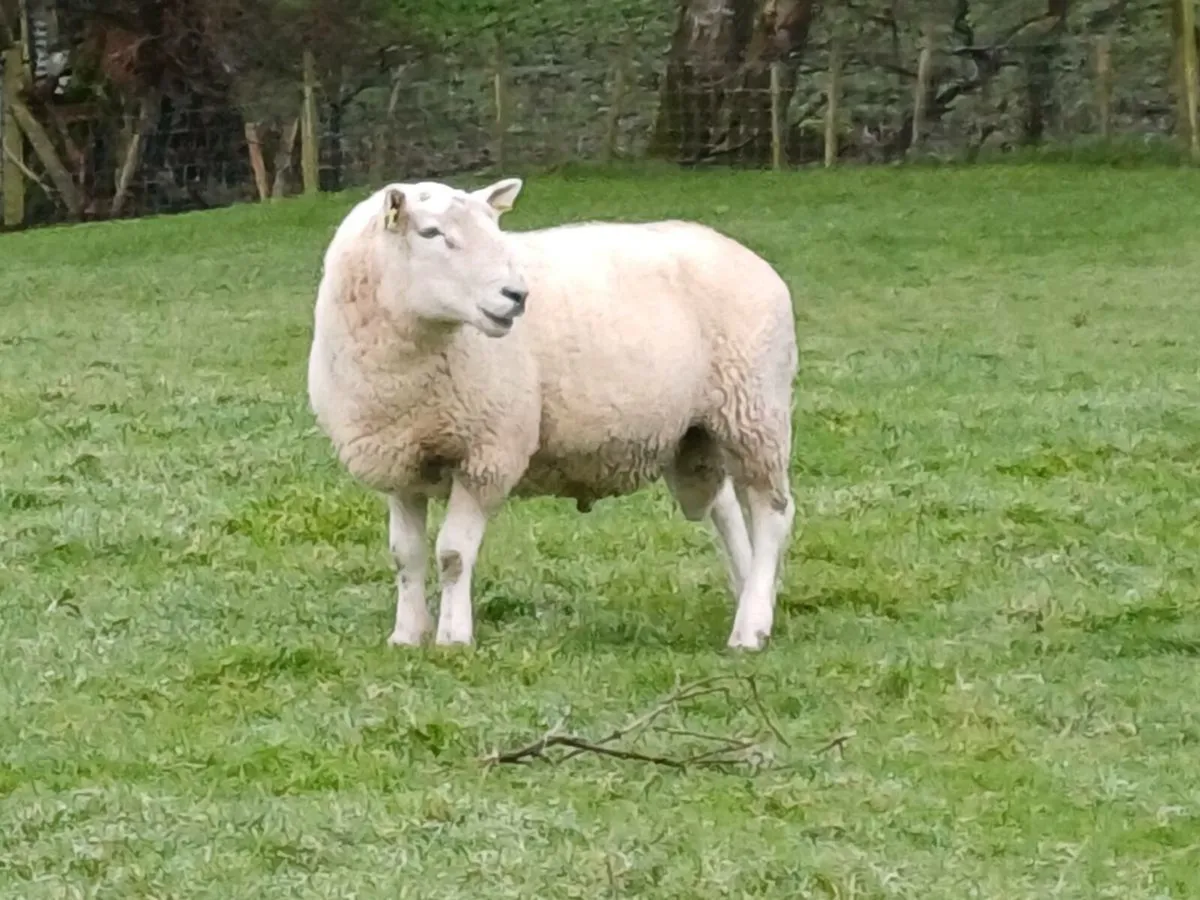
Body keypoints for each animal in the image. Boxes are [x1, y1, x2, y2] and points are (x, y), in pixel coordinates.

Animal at [306, 177, 798, 651]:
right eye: (430, 233)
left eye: (495, 230)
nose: (516, 295)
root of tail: (740, 252)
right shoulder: (402, 463)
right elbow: (405, 556)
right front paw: (407, 636)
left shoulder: (489, 453)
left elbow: (452, 555)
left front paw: (453, 638)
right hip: (700, 431)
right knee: (727, 507)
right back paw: (750, 593)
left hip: (756, 410)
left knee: (772, 513)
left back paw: (751, 628)